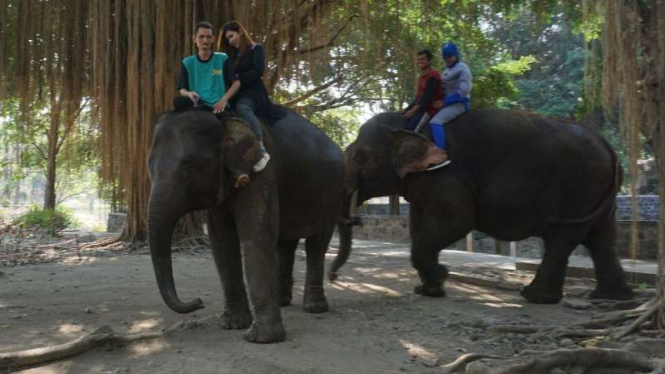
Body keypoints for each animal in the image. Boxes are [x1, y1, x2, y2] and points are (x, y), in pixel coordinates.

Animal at [148, 106, 344, 344]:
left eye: (190, 169)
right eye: (150, 168)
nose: (198, 301)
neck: (224, 121)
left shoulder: (262, 171)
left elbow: (255, 233)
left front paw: (262, 338)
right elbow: (221, 241)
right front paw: (232, 324)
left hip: (333, 193)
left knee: (317, 244)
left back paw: (314, 307)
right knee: (286, 243)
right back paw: (282, 301)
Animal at [330, 108, 636, 304]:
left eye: (359, 157)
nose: (332, 277)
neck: (410, 124)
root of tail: (608, 146)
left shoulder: (445, 174)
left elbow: (458, 220)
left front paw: (440, 278)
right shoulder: (421, 183)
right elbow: (417, 225)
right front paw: (428, 290)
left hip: (576, 186)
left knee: (562, 238)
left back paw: (535, 297)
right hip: (596, 192)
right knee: (601, 237)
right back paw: (612, 298)